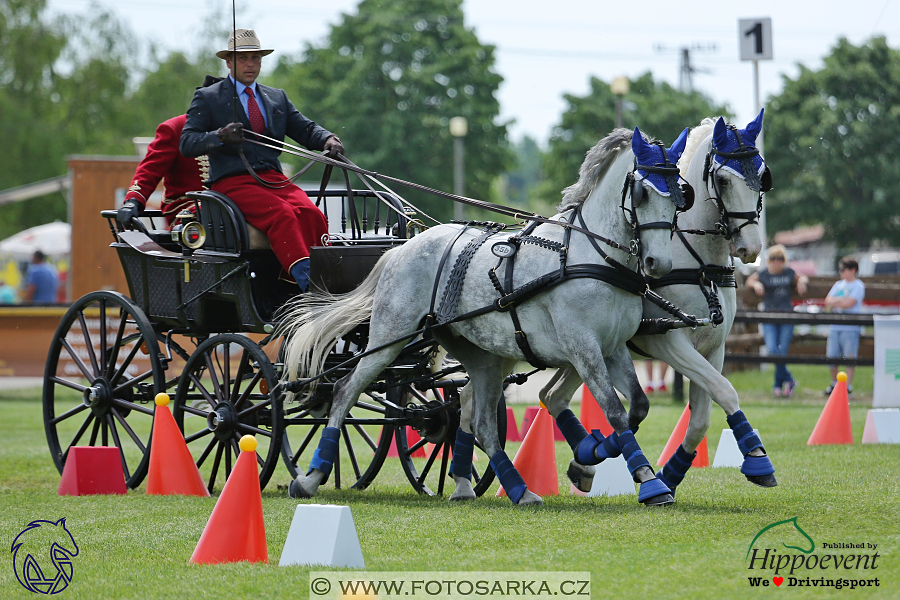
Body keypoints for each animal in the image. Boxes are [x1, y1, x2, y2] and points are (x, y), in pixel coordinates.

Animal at [284, 127, 684, 506]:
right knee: (344, 391)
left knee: (477, 419)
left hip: (484, 356)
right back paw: (311, 476)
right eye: (644, 193)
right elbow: (615, 411)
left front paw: (594, 455)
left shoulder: (613, 347)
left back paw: (508, 488)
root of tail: (403, 247)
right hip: (387, 339)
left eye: (680, 194)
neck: (589, 255)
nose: (659, 263)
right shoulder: (583, 348)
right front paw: (647, 482)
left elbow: (638, 406)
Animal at [536, 110, 776, 500]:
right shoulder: (667, 341)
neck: (698, 264)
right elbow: (725, 391)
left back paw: (584, 463)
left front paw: (671, 474)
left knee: (551, 395)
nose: (751, 247)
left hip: (584, 347)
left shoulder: (714, 347)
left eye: (762, 175)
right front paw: (758, 460)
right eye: (723, 179)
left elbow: (700, 418)